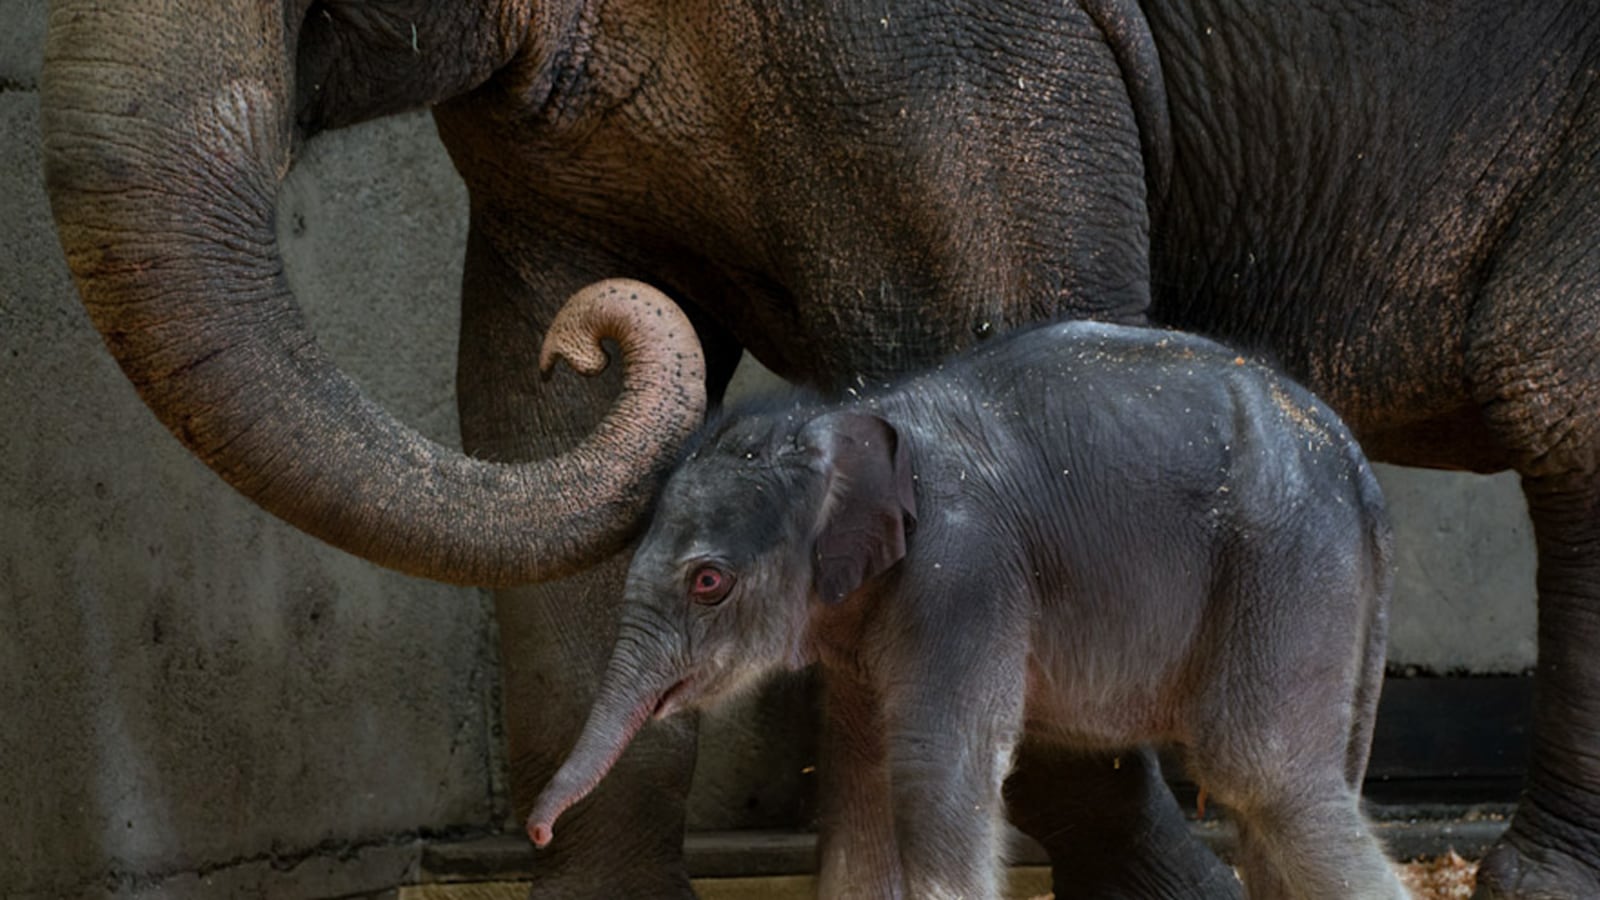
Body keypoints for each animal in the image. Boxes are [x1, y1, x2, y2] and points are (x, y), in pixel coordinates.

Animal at [530, 313, 1405, 900]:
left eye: (708, 581)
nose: (537, 830)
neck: (850, 420)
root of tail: (1354, 459)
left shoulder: (963, 572)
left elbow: (934, 765)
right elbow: (858, 781)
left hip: (1287, 569)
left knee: (1264, 774)